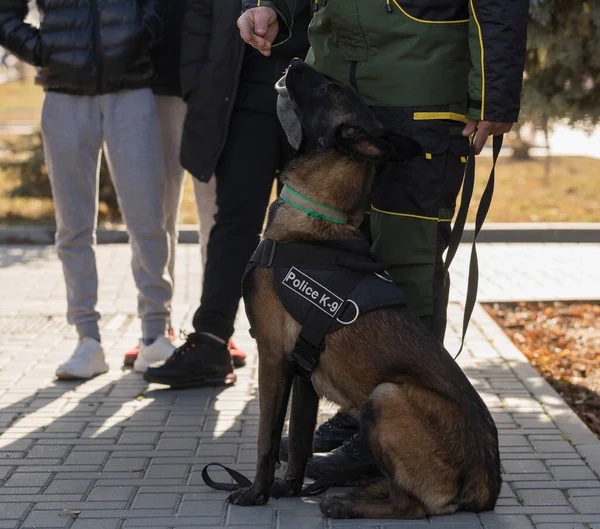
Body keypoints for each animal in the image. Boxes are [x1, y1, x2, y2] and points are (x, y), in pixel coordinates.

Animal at [230, 59, 502, 516]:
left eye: (330, 88)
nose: (294, 61)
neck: (316, 217)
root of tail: (487, 482)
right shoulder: (303, 374)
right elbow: (299, 442)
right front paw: (288, 488)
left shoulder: (271, 357)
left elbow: (266, 439)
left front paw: (256, 493)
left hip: (385, 396)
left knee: (411, 505)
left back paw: (347, 505)